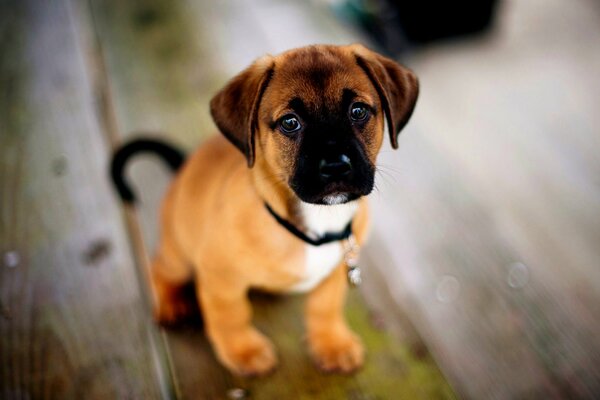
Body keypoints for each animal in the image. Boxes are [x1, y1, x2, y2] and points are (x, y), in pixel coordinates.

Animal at [110, 44, 418, 378]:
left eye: (358, 111)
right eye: (290, 122)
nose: (336, 166)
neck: (315, 224)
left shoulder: (334, 273)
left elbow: (325, 307)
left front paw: (332, 343)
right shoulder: (219, 277)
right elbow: (230, 316)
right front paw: (244, 351)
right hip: (179, 252)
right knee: (159, 267)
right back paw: (170, 302)